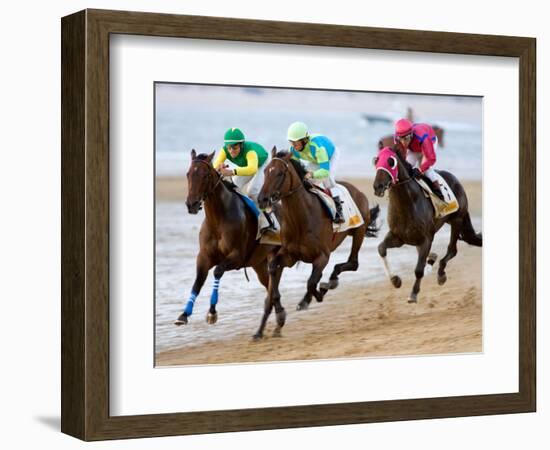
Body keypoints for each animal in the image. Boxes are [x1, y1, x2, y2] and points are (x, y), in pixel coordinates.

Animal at [175, 149, 284, 332]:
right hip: (259, 264)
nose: (192, 204)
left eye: (205, 175)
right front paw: (184, 315)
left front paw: (212, 312)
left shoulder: (237, 257)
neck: (218, 220)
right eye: (188, 174)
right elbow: (198, 281)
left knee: (273, 283)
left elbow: (217, 271)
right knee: (269, 284)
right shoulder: (204, 257)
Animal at [256, 149, 382, 340]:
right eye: (264, 171)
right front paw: (280, 311)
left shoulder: (322, 256)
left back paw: (328, 283)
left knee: (353, 263)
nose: (262, 199)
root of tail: (357, 190)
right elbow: (273, 268)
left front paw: (313, 297)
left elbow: (311, 282)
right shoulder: (290, 256)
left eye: (279, 173)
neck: (301, 218)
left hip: (358, 231)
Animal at [376, 146, 484, 304]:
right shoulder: (398, 237)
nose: (377, 186)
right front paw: (395, 280)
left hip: (457, 220)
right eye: (376, 160)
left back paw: (441, 274)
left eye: (391, 162)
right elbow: (381, 248)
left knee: (452, 250)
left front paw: (413, 294)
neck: (407, 203)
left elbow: (418, 270)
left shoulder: (426, 239)